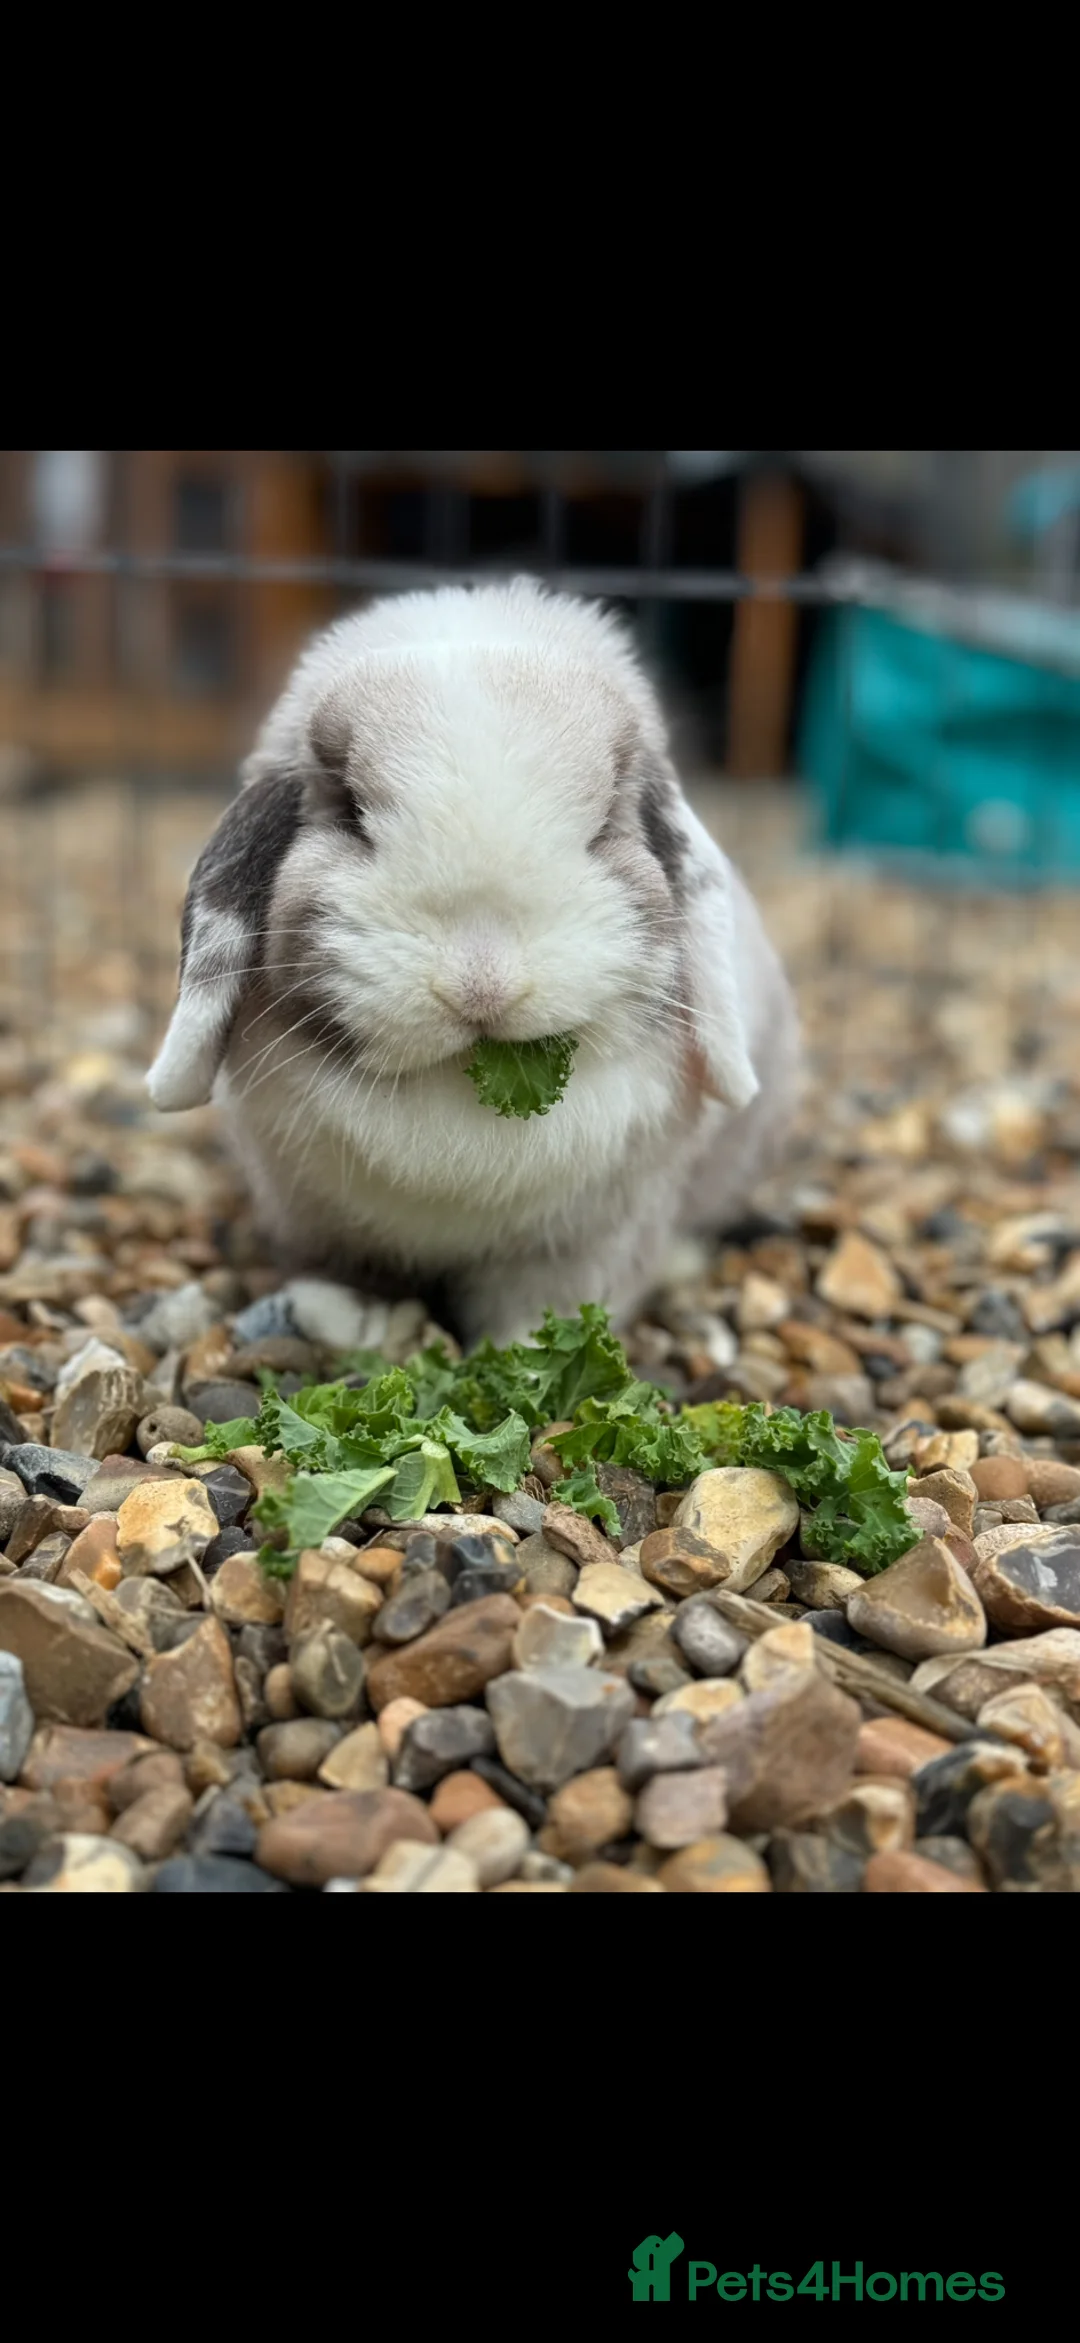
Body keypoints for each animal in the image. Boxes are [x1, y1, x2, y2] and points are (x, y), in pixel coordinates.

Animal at [147, 576, 801, 1350]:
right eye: (353, 812)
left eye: (602, 826)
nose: (482, 983)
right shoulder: (314, 1216)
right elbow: (342, 1273)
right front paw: (352, 1320)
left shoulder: (589, 1239)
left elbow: (545, 1304)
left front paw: (524, 1351)